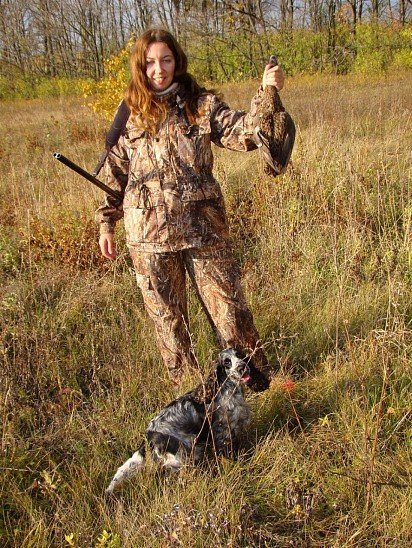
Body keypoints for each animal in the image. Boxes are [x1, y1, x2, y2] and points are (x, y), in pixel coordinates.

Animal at [106, 348, 268, 494]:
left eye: (240, 355)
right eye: (227, 362)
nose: (241, 367)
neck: (228, 387)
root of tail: (149, 437)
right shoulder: (223, 432)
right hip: (184, 455)